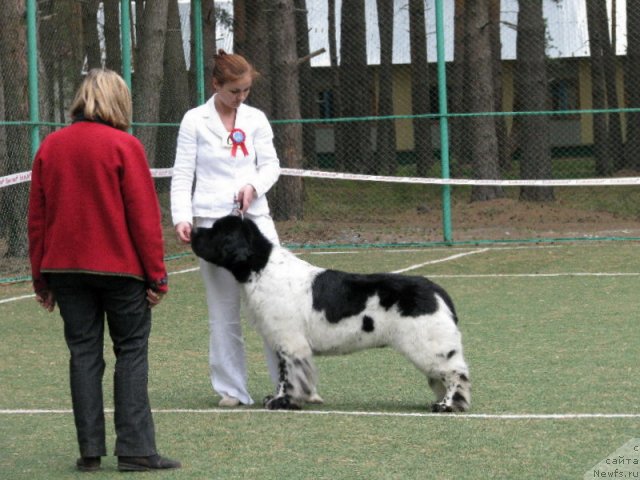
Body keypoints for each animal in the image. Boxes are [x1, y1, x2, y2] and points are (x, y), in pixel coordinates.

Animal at [190, 216, 470, 410]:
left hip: (429, 345)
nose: (192, 230)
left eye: (216, 231)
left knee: (455, 373)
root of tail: (437, 291)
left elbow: (288, 375)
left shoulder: (290, 341)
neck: (262, 268)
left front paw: (282, 402)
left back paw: (446, 405)